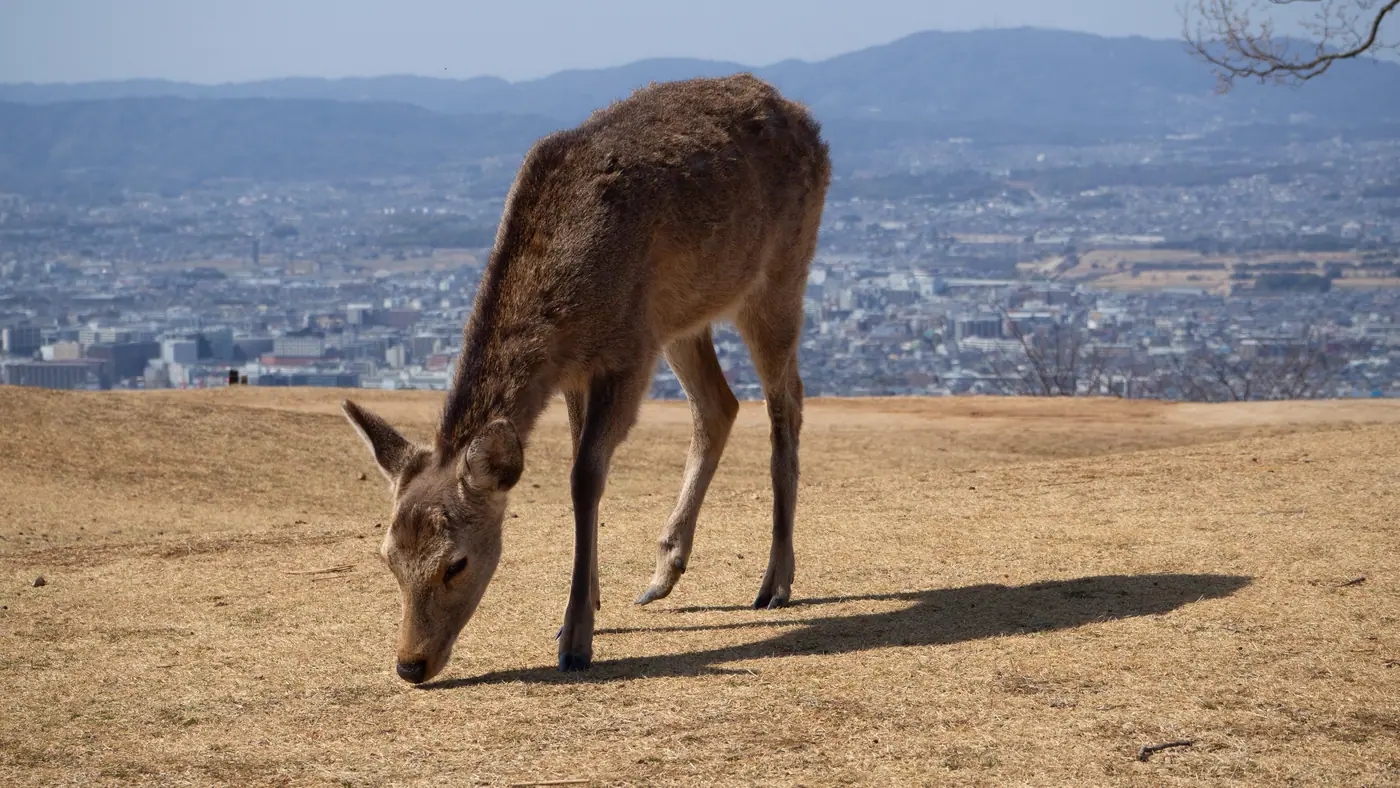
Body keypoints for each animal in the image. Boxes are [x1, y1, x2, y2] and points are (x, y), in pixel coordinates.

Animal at [341, 73, 831, 682]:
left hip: (781, 273)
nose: (411, 664)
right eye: (387, 557)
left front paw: (576, 638)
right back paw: (662, 575)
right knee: (719, 404)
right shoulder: (582, 367)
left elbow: (584, 478)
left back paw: (775, 581)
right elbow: (581, 468)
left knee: (787, 399)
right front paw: (591, 604)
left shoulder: (626, 353)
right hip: (681, 317)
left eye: (456, 563)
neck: (567, 313)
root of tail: (804, 117)